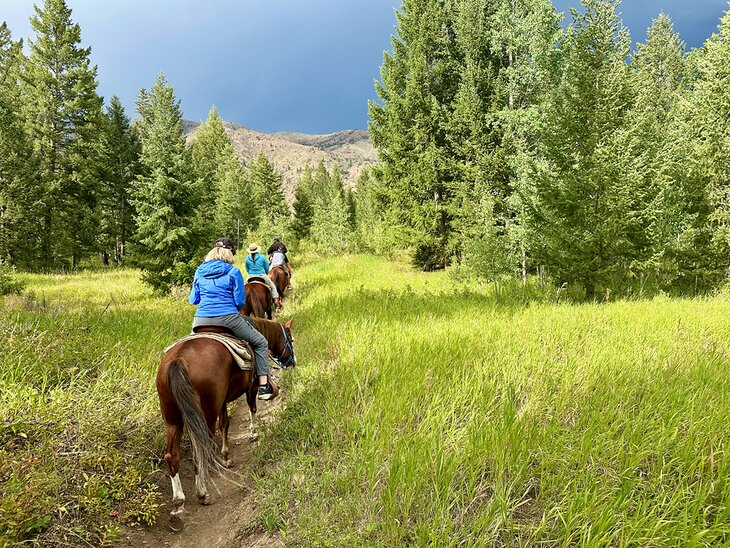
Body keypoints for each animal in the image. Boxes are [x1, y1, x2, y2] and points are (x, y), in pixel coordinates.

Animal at [155, 314, 294, 520]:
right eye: (290, 339)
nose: (292, 362)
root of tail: (178, 360)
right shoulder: (250, 388)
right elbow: (251, 408)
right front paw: (252, 434)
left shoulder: (221, 402)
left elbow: (225, 424)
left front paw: (226, 455)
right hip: (206, 413)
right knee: (202, 448)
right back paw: (203, 493)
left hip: (172, 418)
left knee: (172, 455)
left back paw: (179, 501)